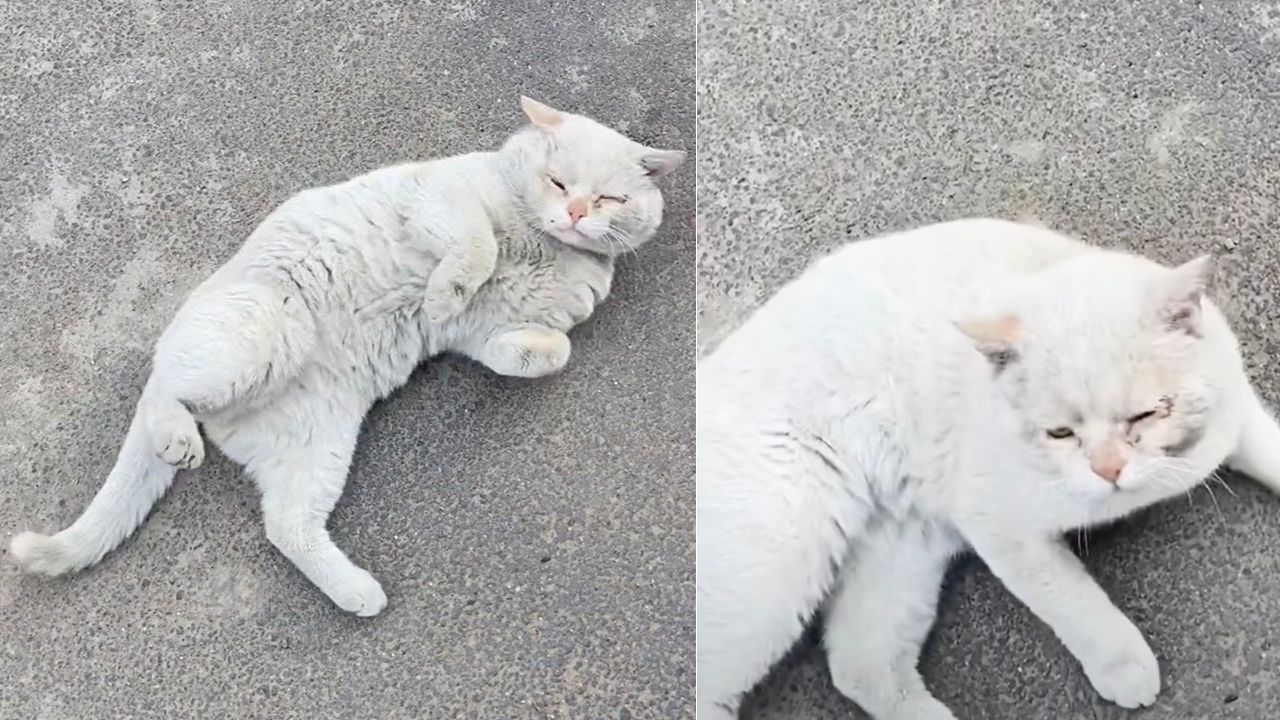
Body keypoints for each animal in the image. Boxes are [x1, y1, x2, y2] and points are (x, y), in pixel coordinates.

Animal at [12, 94, 691, 609]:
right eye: (558, 183)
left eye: (608, 199)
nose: (574, 212)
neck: (548, 247)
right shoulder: (438, 200)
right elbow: (477, 246)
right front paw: (446, 290)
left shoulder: (486, 334)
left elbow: (550, 351)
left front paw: (523, 346)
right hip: (260, 336)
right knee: (165, 392)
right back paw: (177, 438)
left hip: (319, 444)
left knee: (285, 526)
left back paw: (359, 594)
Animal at [696, 219, 1280, 717]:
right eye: (1060, 433)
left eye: (1146, 414)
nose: (1108, 469)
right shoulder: (1001, 528)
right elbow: (1074, 601)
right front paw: (1123, 667)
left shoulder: (1238, 417)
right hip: (775, 575)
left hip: (900, 553)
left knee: (862, 667)